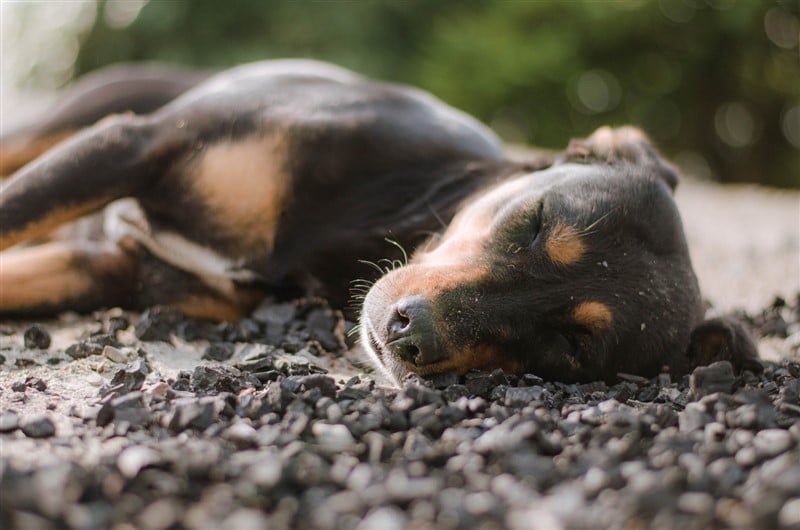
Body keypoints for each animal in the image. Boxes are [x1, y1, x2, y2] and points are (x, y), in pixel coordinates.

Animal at [0, 59, 760, 382]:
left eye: (570, 346)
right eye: (534, 220)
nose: (409, 334)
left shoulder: (118, 272)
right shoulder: (134, 146)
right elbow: (12, 216)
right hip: (82, 124)